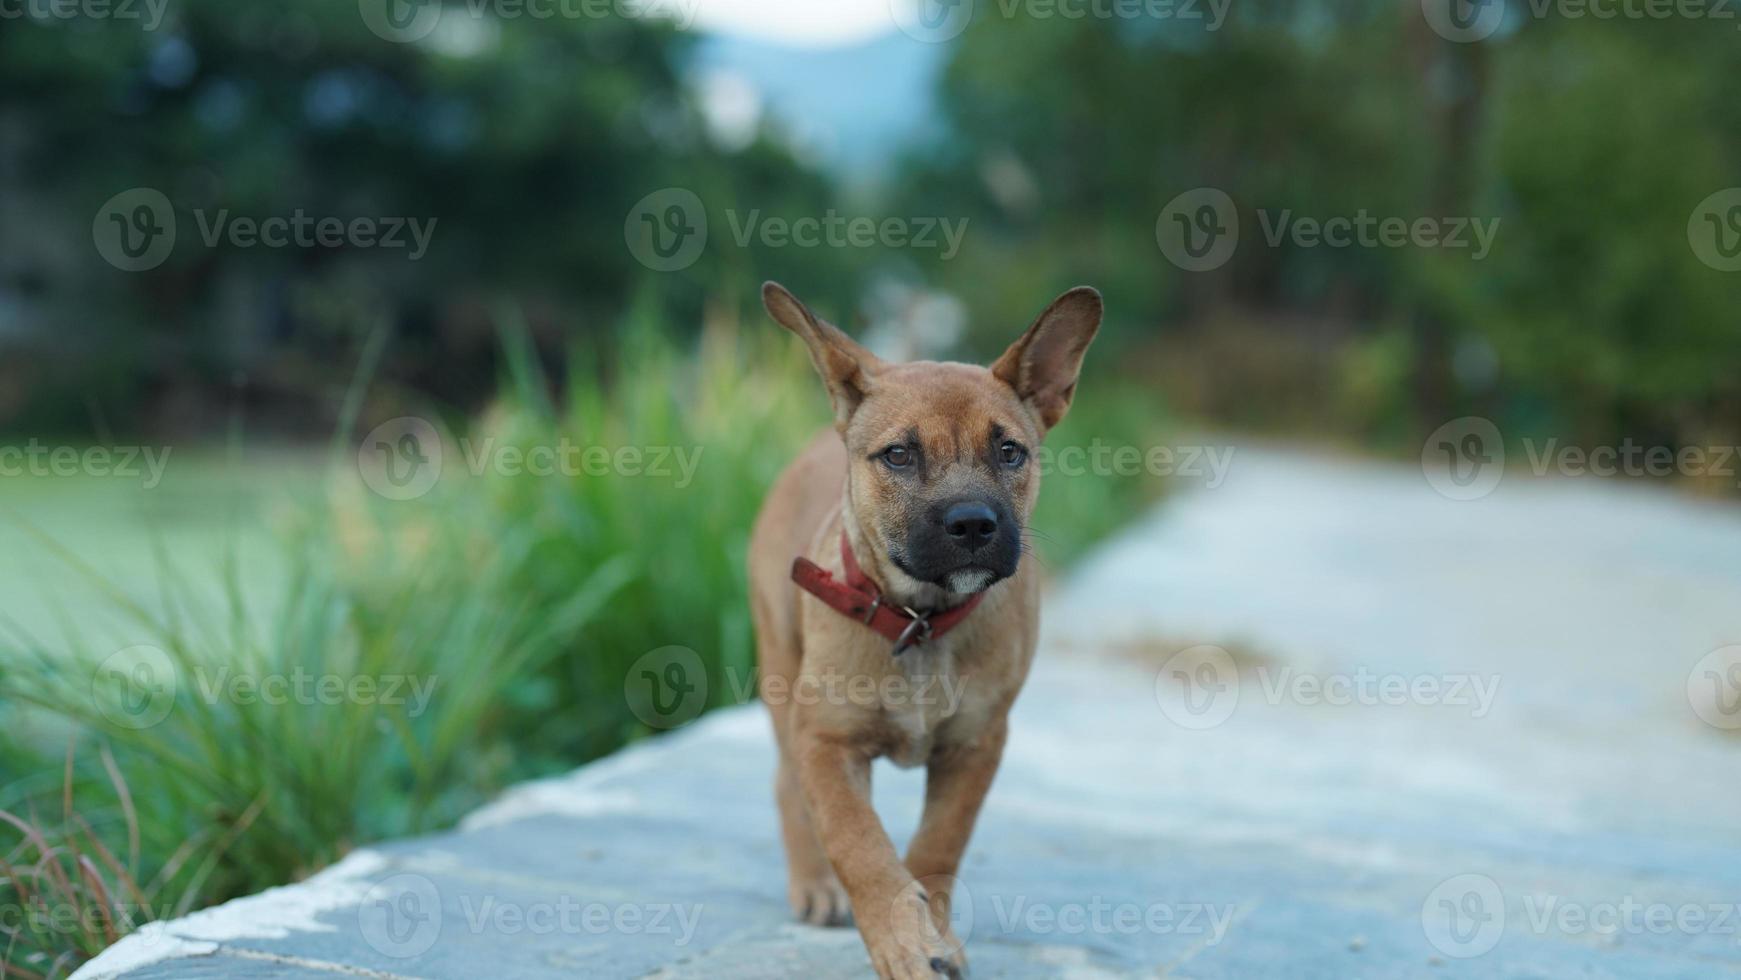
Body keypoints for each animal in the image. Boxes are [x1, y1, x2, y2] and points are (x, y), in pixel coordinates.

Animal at [748, 280, 1100, 974]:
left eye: (1009, 452)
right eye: (899, 455)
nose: (972, 524)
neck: (921, 619)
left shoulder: (977, 745)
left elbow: (938, 846)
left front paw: (930, 928)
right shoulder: (826, 741)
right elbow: (859, 844)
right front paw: (904, 941)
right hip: (780, 673)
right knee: (786, 786)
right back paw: (815, 883)